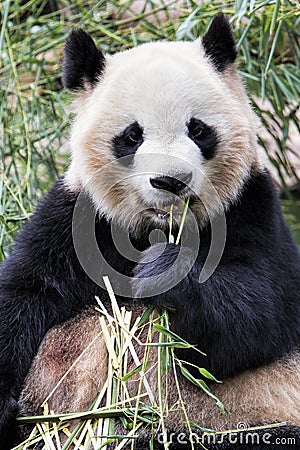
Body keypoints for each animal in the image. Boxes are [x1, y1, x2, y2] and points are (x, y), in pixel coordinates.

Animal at [0, 12, 300, 448]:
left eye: (198, 129)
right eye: (132, 135)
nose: (170, 181)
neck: (159, 226)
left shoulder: (252, 209)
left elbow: (258, 314)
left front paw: (160, 270)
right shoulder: (75, 220)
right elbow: (24, 292)